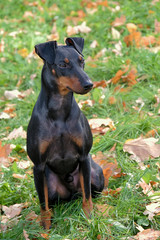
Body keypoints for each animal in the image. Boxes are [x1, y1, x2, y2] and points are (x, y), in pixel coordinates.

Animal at [26, 37, 104, 229]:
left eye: (82, 61)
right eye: (62, 64)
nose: (89, 84)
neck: (59, 112)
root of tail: (71, 194)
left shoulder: (84, 157)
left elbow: (87, 197)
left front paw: (89, 220)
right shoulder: (38, 166)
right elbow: (43, 205)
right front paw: (45, 229)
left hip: (95, 174)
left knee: (88, 192)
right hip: (48, 182)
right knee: (51, 201)